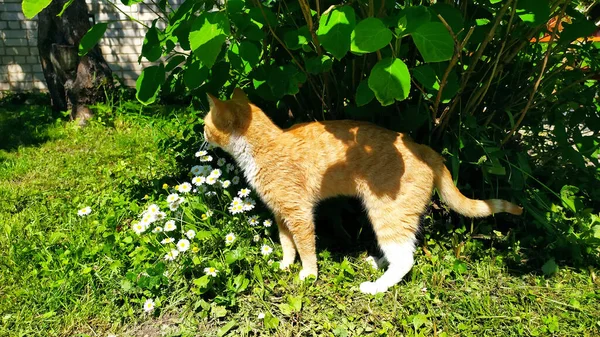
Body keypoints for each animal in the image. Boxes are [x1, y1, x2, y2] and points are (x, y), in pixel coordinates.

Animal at [203, 88, 520, 292]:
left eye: (206, 125)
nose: (200, 132)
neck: (263, 146)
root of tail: (423, 148)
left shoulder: (299, 214)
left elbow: (305, 248)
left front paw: (308, 275)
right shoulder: (282, 214)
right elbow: (287, 244)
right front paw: (285, 265)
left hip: (387, 214)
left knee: (405, 260)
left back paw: (375, 287)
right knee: (401, 251)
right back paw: (377, 261)